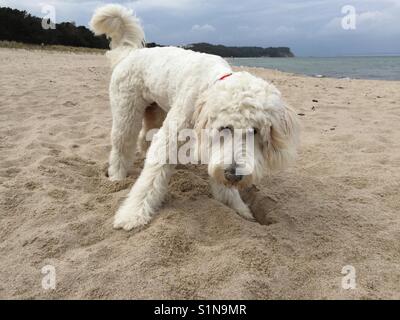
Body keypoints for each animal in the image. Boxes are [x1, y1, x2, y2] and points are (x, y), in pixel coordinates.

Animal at [89, 4, 298, 230]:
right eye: (225, 128)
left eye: (255, 131)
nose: (233, 175)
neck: (208, 84)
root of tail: (130, 53)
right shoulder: (172, 135)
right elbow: (151, 178)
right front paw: (132, 214)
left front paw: (238, 208)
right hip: (126, 111)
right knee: (122, 145)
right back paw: (117, 177)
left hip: (156, 110)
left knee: (145, 138)